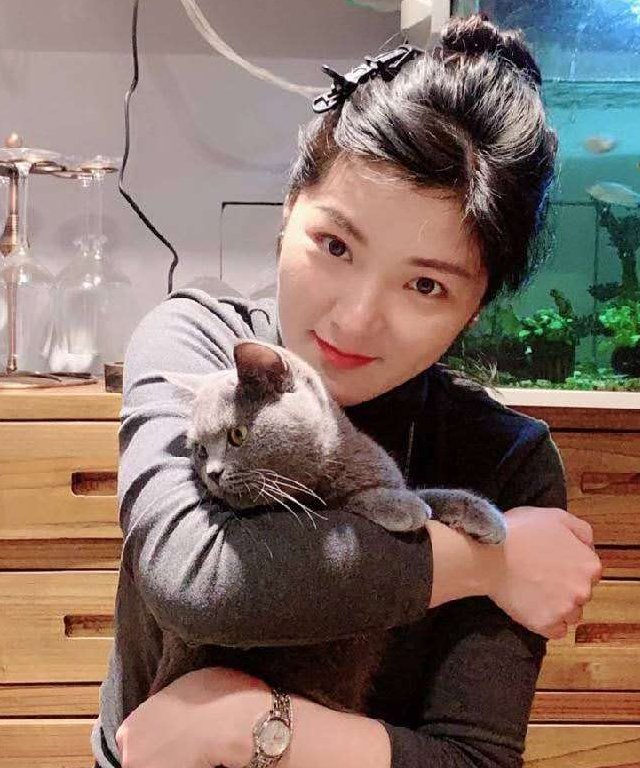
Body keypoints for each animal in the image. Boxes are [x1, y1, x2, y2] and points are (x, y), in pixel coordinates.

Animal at [149, 340, 506, 713]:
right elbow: (355, 502)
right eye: (200, 450)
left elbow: (432, 494)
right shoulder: (320, 504)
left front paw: (486, 517)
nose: (212, 473)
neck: (331, 466)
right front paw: (402, 507)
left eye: (237, 434)